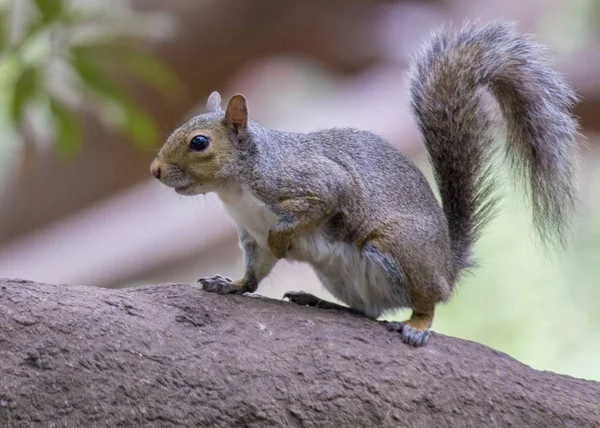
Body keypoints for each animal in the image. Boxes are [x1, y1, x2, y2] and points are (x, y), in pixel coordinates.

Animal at [149, 21, 576, 346]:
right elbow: (254, 274)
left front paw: (283, 241)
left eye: (199, 142)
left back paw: (416, 325)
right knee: (366, 312)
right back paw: (321, 302)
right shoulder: (249, 235)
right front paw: (230, 284)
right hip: (343, 277)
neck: (236, 188)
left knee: (425, 302)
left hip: (398, 249)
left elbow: (318, 204)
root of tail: (447, 267)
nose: (155, 170)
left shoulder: (312, 182)